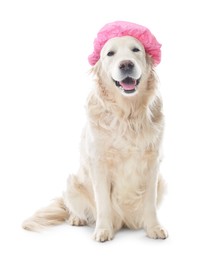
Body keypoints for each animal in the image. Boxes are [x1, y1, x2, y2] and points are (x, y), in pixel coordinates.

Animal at [22, 21, 168, 242]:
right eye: (110, 53)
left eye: (136, 50)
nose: (126, 64)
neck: (127, 114)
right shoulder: (99, 163)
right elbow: (103, 203)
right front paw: (103, 230)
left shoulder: (153, 163)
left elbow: (149, 202)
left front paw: (154, 228)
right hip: (72, 182)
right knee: (74, 208)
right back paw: (77, 218)